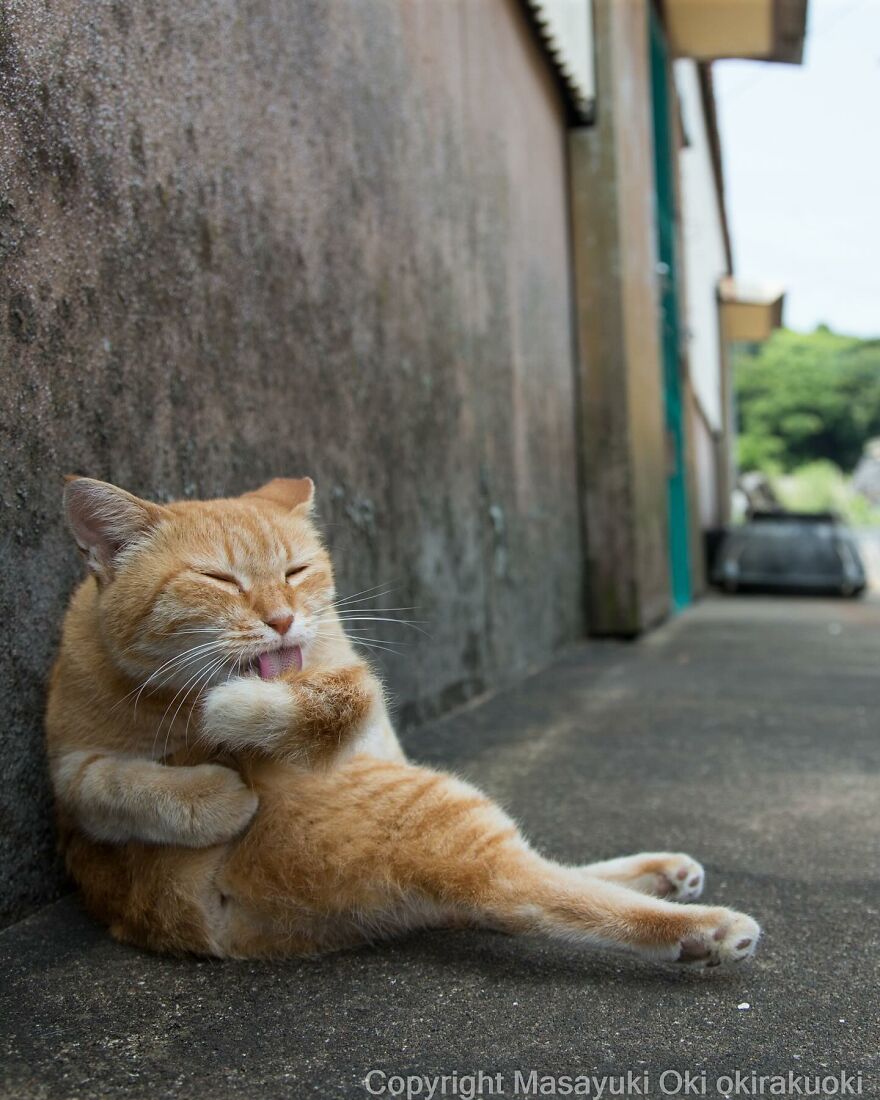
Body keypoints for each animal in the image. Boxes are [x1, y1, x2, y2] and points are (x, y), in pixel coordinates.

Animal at [44, 477, 761, 968]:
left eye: (296, 570)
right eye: (218, 579)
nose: (281, 619)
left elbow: (340, 695)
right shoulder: (71, 766)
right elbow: (114, 783)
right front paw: (220, 762)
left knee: (537, 879)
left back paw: (667, 877)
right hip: (441, 810)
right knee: (527, 890)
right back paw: (706, 931)